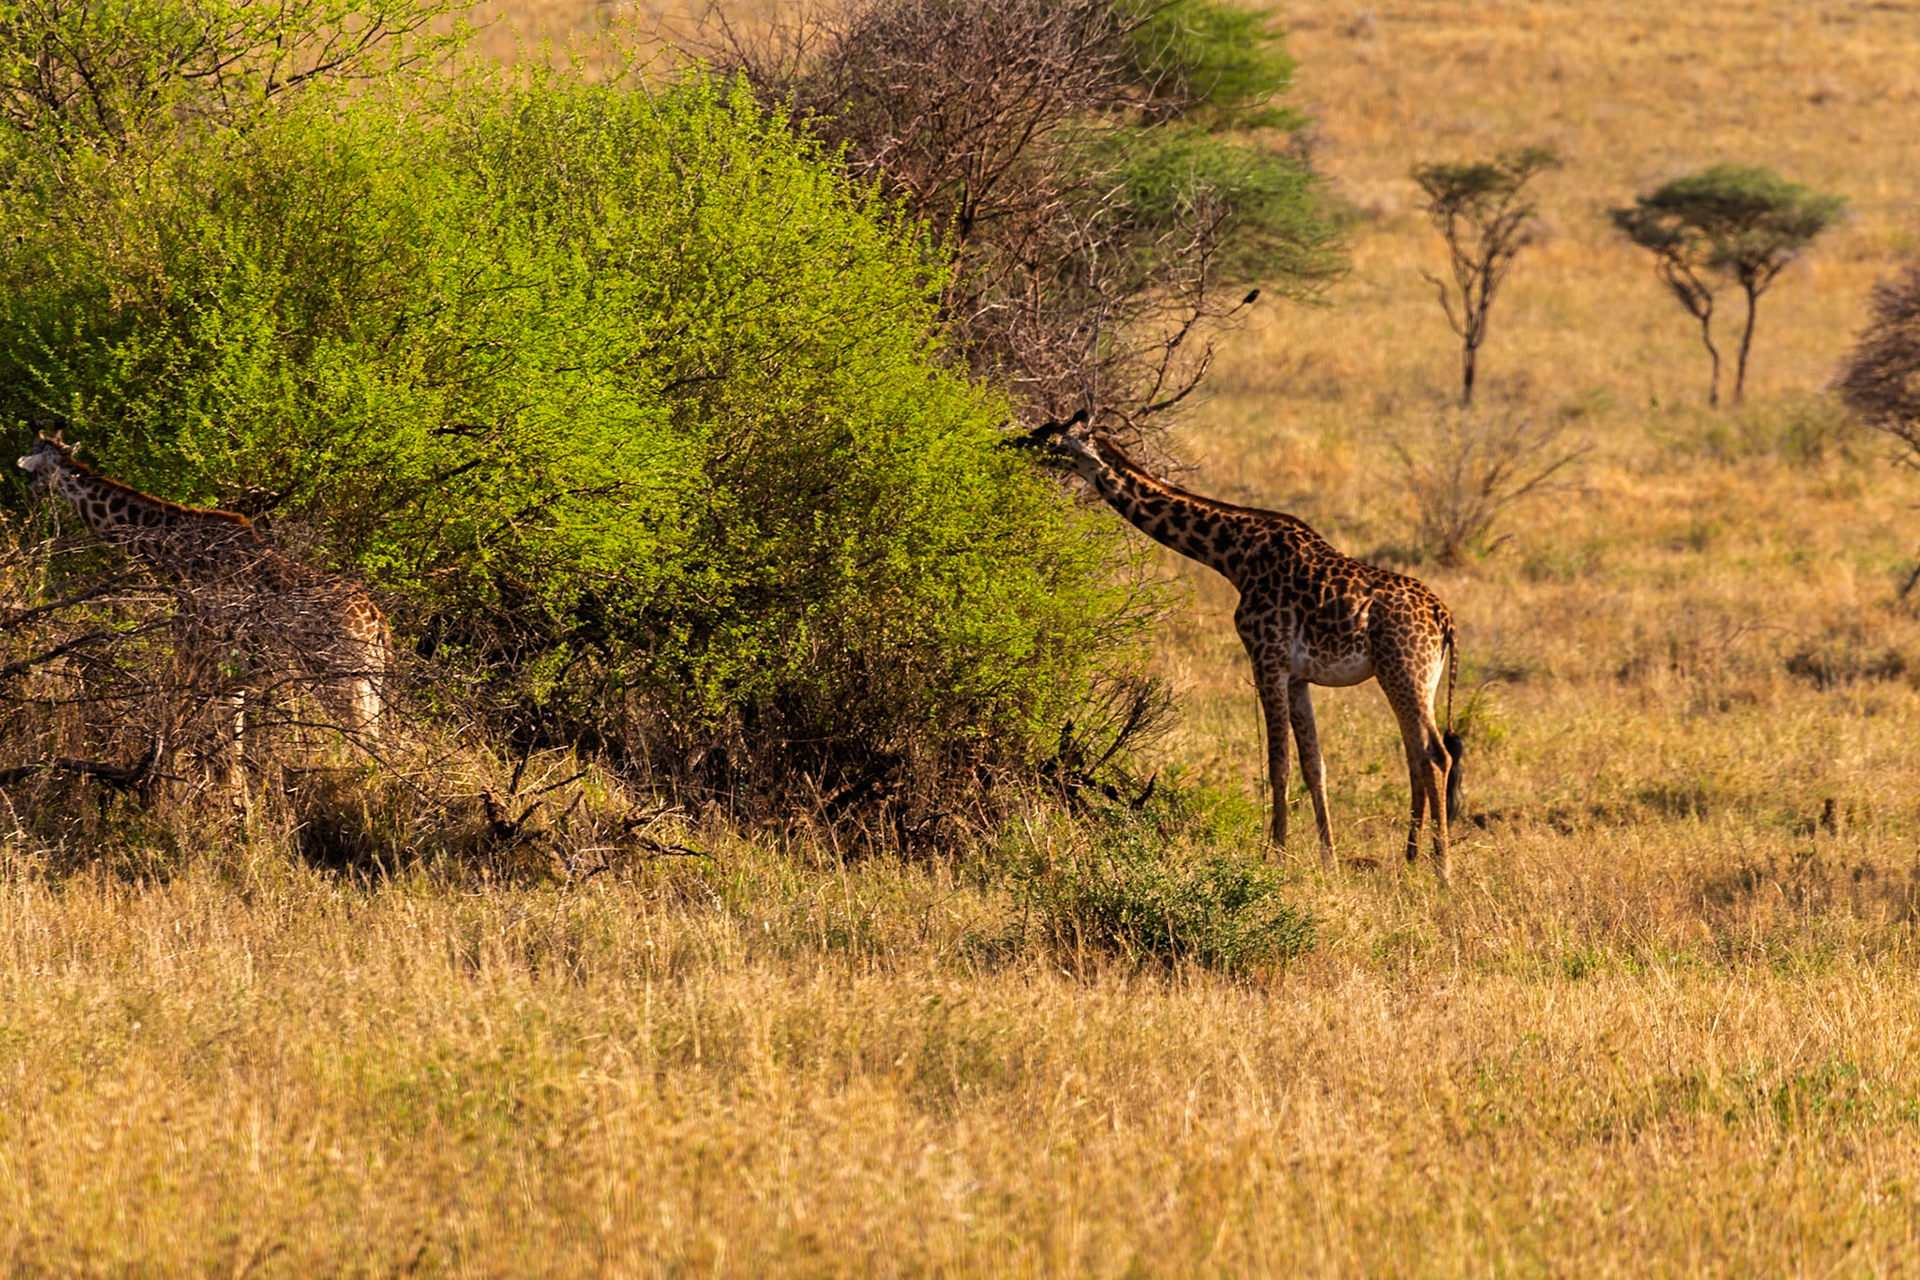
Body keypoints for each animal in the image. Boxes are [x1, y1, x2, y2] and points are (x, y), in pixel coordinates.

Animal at [16, 431, 391, 755]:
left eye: (32, 465)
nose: (29, 492)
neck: (174, 554)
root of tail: (378, 624)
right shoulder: (231, 673)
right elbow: (229, 740)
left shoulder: (201, 656)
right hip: (369, 681)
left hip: (343, 680)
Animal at [1019, 413, 1463, 883]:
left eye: (1055, 441)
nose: (1017, 445)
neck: (1234, 555)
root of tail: (1445, 619)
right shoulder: (1297, 676)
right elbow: (1314, 765)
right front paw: (1328, 860)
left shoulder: (1266, 658)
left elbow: (1278, 763)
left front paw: (1276, 855)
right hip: (1408, 678)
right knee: (1417, 755)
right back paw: (1412, 858)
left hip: (1405, 673)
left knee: (1436, 756)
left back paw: (1442, 868)